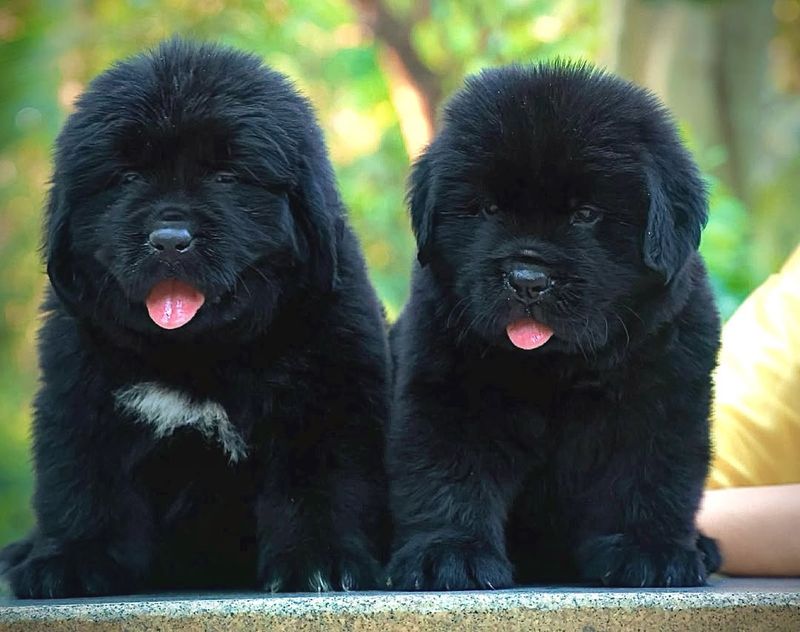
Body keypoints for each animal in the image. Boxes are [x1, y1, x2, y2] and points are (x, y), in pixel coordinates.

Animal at [0, 40, 390, 596]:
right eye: (129, 178)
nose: (169, 240)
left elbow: (321, 485)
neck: (198, 360)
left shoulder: (327, 397)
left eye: (226, 178)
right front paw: (72, 559)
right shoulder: (81, 394)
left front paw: (323, 560)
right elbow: (84, 483)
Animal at [390, 61, 724, 592]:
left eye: (585, 214)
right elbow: (447, 474)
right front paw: (449, 555)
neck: (557, 369)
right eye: (489, 209)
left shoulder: (662, 396)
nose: (527, 279)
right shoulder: (449, 391)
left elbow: (649, 475)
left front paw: (649, 553)